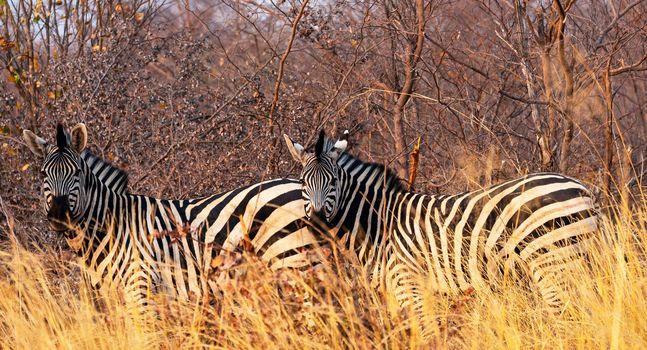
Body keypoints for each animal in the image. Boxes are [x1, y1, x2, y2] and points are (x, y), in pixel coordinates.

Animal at [23, 123, 318, 308]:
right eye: (43, 174)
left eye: (76, 174)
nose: (59, 215)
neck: (111, 227)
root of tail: (298, 185)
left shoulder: (140, 286)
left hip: (294, 260)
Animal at [284, 129, 604, 320]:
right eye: (302, 182)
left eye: (333, 181)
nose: (315, 222)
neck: (378, 223)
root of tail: (582, 188)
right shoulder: (396, 294)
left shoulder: (410, 285)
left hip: (555, 262)